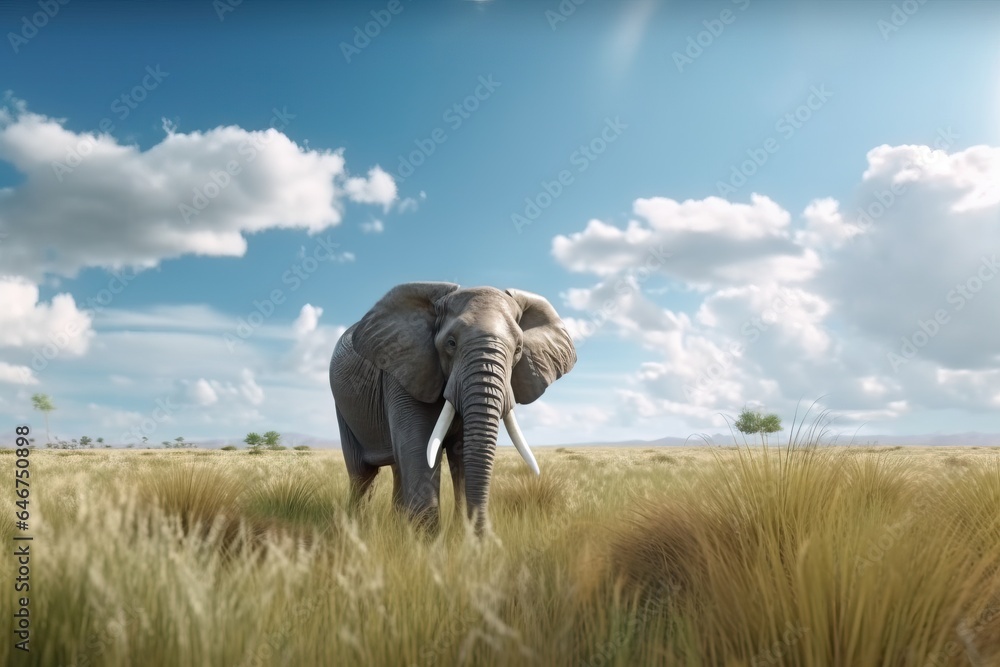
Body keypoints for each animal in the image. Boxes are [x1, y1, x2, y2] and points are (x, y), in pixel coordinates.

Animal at [329, 282, 576, 536]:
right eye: (451, 343)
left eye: (518, 349)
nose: (485, 538)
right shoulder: (406, 371)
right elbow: (420, 449)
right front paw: (426, 542)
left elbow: (461, 452)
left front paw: (461, 538)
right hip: (344, 408)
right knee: (362, 474)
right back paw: (354, 527)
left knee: (396, 468)